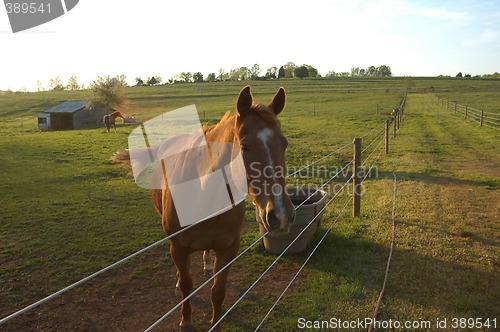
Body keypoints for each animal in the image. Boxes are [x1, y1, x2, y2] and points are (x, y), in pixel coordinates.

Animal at [150, 87, 294, 330]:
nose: (281, 214)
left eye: (283, 143)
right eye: (244, 146)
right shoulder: (178, 248)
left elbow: (218, 292)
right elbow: (187, 285)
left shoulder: (228, 249)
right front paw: (186, 320)